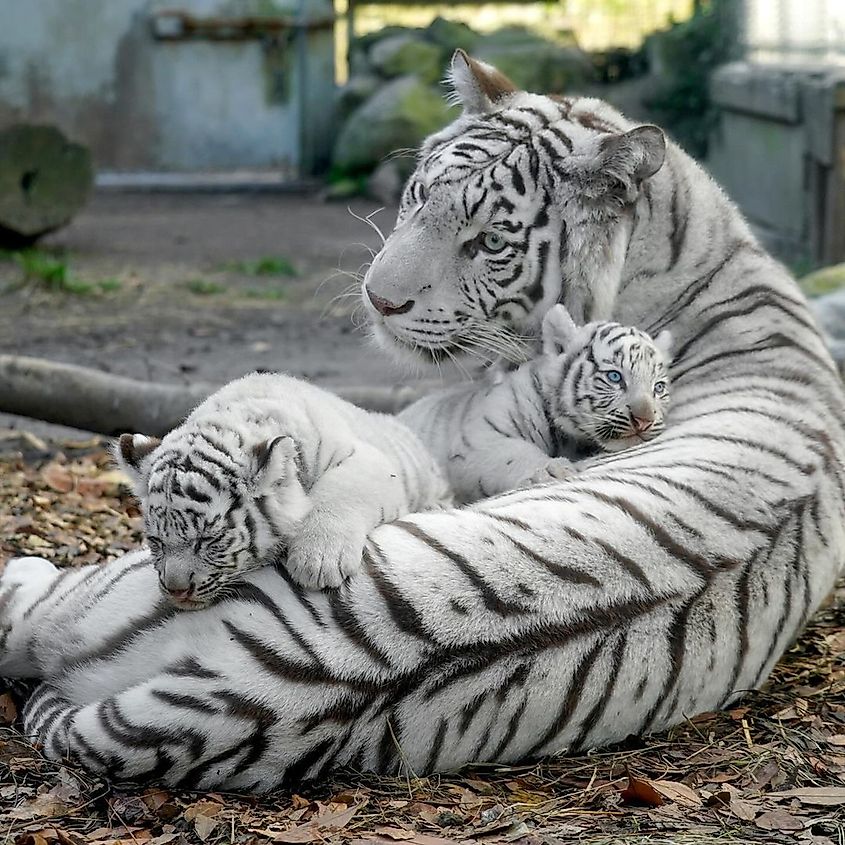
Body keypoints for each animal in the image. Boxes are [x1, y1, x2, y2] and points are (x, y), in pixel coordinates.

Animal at [114, 371, 452, 600]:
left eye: (209, 540)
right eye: (155, 542)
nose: (176, 591)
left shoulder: (368, 459)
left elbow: (340, 490)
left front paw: (318, 561)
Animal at [399, 302, 672, 502]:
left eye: (658, 388)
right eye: (615, 377)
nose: (645, 420)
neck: (570, 439)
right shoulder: (477, 439)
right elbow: (512, 453)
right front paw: (549, 470)